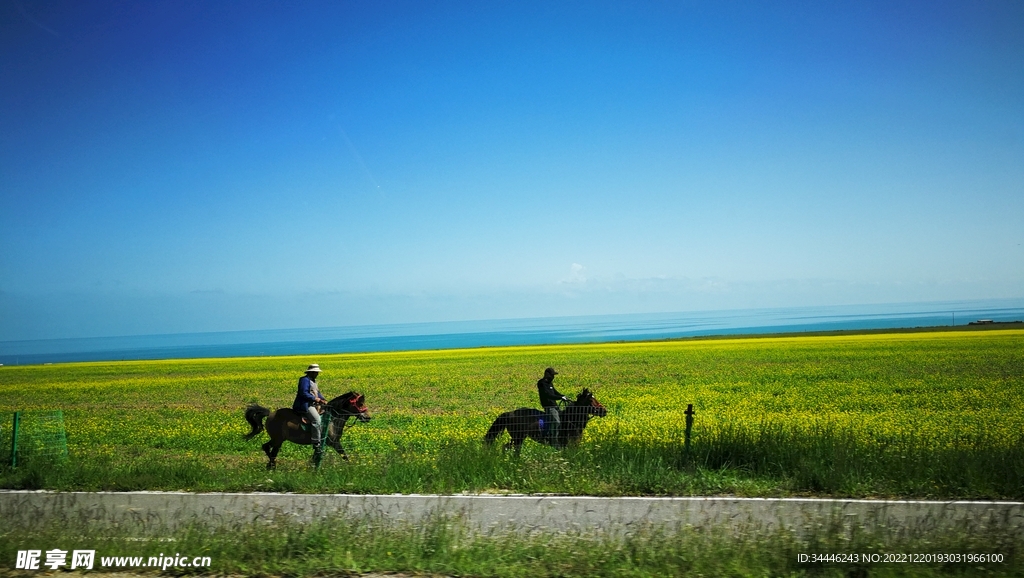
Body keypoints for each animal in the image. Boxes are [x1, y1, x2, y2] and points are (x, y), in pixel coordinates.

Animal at [243, 393, 372, 469]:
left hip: (276, 439)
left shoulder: (321, 444)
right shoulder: (334, 443)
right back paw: (273, 466)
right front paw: (351, 468)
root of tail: (270, 414)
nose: (368, 417)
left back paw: (270, 465)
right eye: (360, 403)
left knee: (265, 446)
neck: (333, 418)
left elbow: (315, 458)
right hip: (278, 440)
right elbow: (344, 456)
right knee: (272, 452)